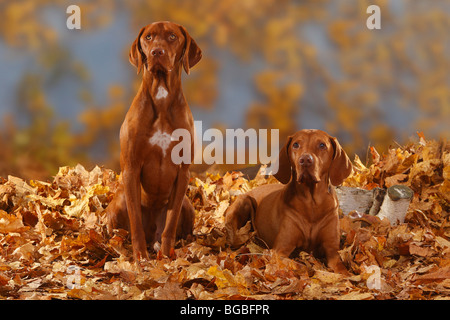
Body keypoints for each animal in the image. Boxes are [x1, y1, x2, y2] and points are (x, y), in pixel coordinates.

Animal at [106, 21, 201, 262]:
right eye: (148, 37)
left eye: (172, 36)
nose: (157, 52)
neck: (161, 96)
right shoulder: (131, 168)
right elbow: (135, 222)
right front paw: (140, 258)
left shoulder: (183, 172)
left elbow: (170, 224)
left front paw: (166, 256)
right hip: (118, 203)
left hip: (188, 206)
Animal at [225, 129, 352, 274]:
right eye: (295, 144)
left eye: (322, 145)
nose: (305, 160)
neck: (312, 203)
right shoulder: (279, 251)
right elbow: (301, 266)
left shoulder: (333, 253)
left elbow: (344, 272)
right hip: (244, 203)